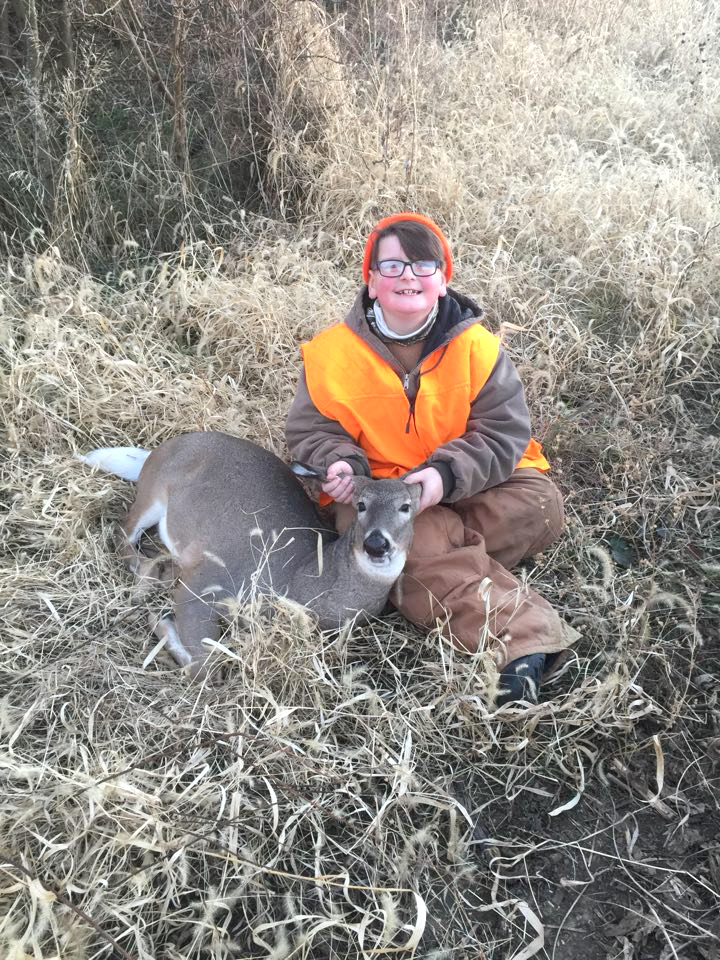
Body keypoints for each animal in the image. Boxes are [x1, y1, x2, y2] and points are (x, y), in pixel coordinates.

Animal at [80, 432, 421, 677]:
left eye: (407, 507)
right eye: (360, 504)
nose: (376, 543)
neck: (302, 575)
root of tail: (158, 450)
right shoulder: (209, 578)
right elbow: (205, 670)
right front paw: (160, 622)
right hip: (155, 492)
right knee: (124, 531)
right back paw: (146, 572)